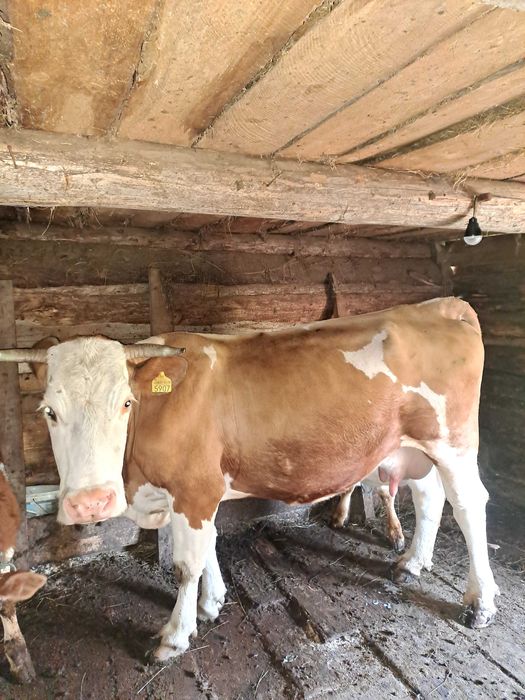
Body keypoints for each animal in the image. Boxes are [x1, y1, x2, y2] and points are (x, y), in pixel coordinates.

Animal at [0, 297, 499, 663]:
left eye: (125, 402)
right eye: (49, 411)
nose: (91, 503)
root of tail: (437, 305)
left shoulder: (195, 490)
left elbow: (186, 564)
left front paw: (175, 635)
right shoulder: (196, 493)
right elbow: (210, 544)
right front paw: (212, 601)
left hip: (453, 443)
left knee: (469, 505)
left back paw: (480, 602)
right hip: (413, 448)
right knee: (430, 497)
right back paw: (412, 562)